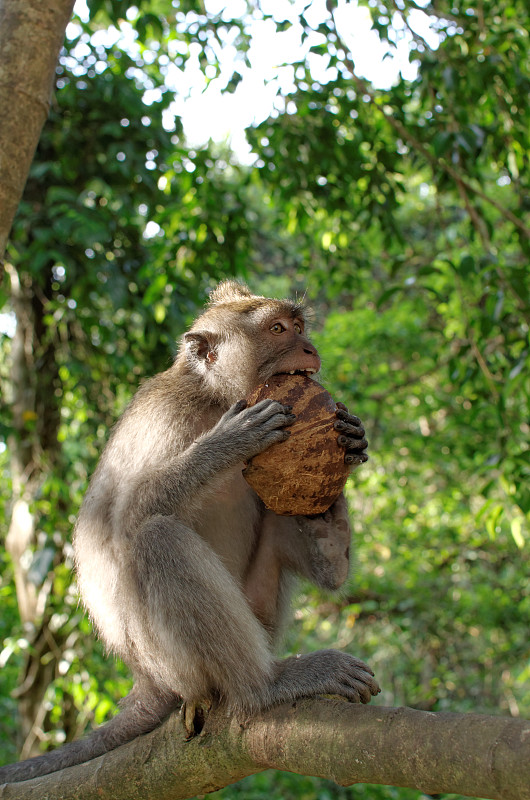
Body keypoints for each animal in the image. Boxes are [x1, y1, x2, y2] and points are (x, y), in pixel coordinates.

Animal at [0, 282, 376, 780]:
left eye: (299, 326)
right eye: (278, 330)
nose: (310, 348)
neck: (213, 397)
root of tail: (145, 682)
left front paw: (349, 443)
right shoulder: (167, 416)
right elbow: (124, 519)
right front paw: (227, 442)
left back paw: (328, 543)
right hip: (170, 662)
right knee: (156, 538)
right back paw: (266, 685)